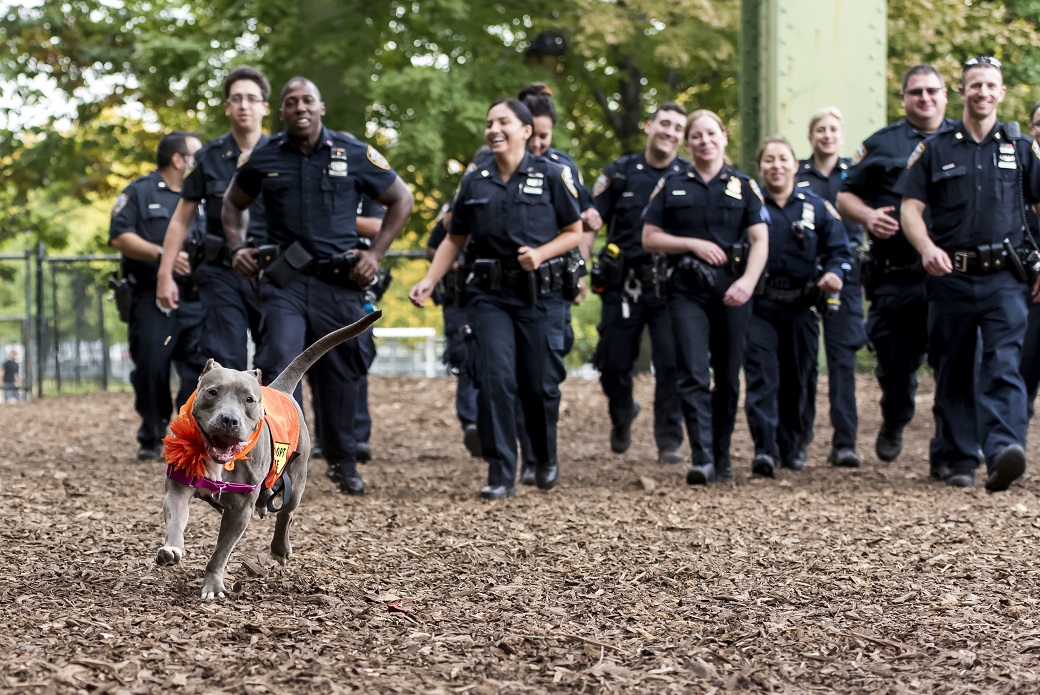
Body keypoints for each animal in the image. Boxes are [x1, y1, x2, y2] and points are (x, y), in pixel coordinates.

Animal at [153, 310, 382, 599]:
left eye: (249, 400)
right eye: (212, 392)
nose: (229, 420)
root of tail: (280, 389)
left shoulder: (239, 511)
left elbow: (221, 553)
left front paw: (213, 586)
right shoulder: (180, 488)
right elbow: (175, 518)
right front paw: (172, 549)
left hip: (297, 479)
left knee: (287, 513)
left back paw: (280, 548)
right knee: (268, 492)